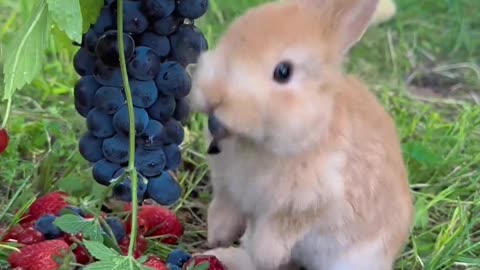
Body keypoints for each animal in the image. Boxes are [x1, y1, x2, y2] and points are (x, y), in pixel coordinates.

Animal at [187, 0, 412, 268]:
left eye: (283, 72)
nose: (212, 95)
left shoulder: (310, 204)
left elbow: (277, 232)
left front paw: (265, 255)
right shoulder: (227, 187)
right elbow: (225, 206)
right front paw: (217, 236)